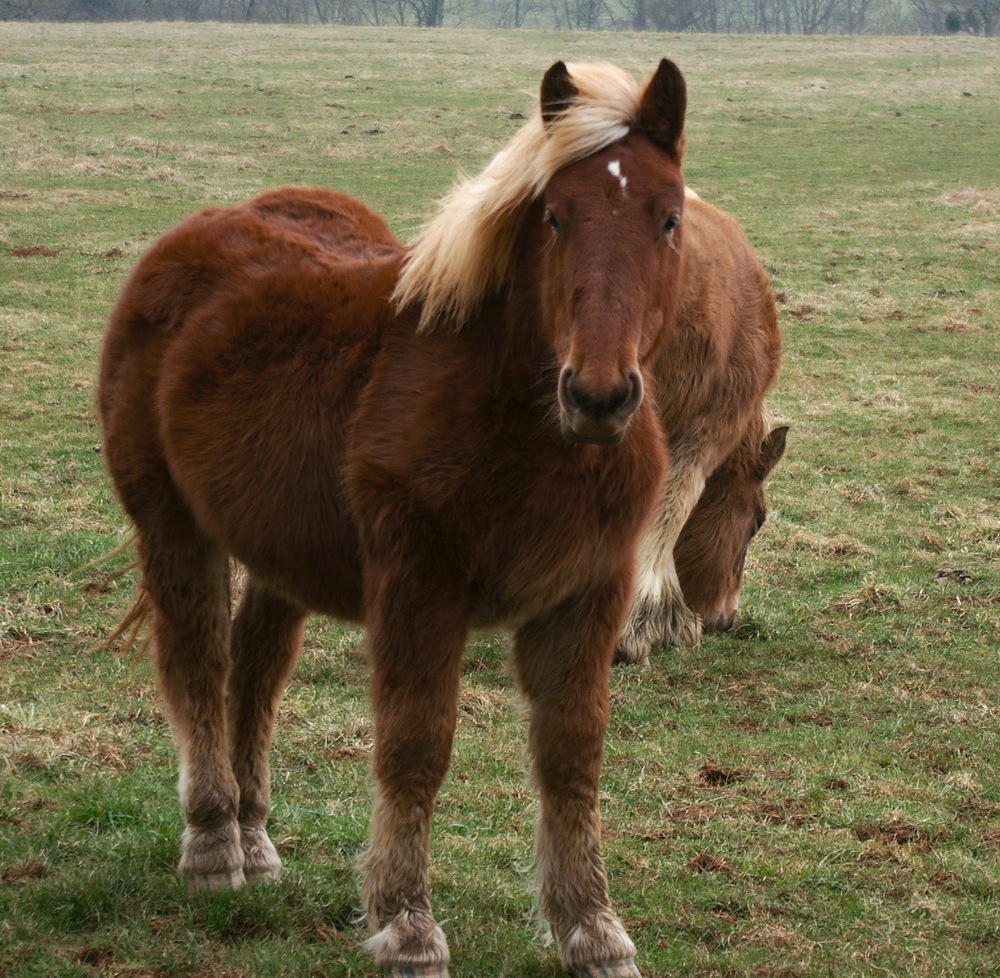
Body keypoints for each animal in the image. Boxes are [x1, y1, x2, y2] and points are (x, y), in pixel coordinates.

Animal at [103, 59, 696, 976]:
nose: (599, 395)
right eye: (554, 216)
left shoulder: (586, 597)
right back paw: (211, 849)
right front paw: (407, 926)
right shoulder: (420, 587)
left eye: (668, 218)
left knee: (256, 673)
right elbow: (415, 748)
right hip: (173, 529)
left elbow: (572, 758)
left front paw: (592, 931)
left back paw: (254, 839)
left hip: (280, 553)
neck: (518, 422)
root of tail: (183, 243)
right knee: (198, 667)